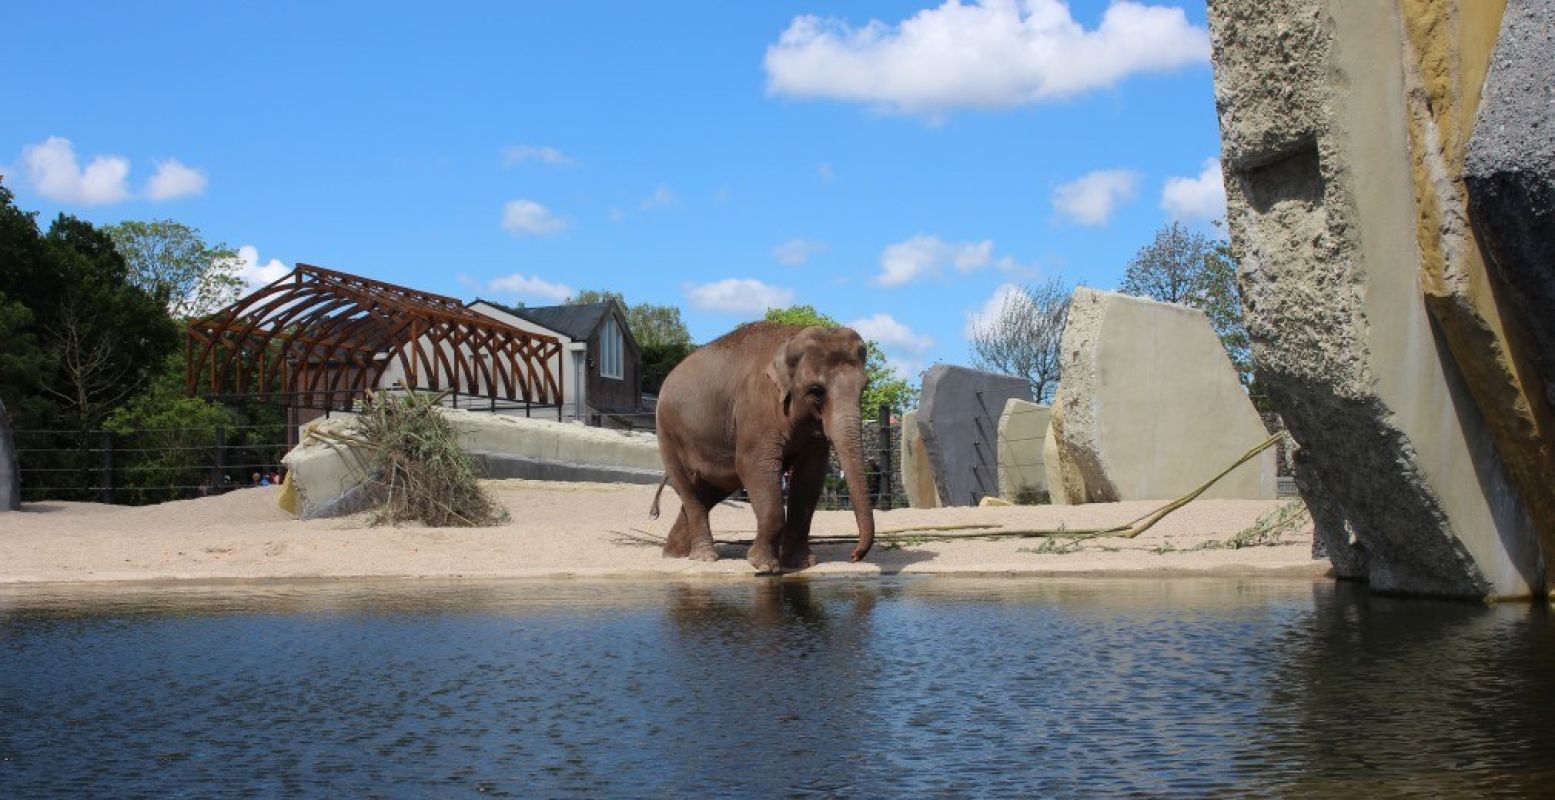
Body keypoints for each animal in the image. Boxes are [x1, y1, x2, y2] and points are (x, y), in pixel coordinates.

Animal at [646, 320, 877, 569]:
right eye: (816, 390)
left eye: (864, 387)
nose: (854, 555)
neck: (791, 338)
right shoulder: (756, 408)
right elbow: (754, 465)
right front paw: (763, 565)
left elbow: (810, 475)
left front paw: (801, 564)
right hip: (668, 433)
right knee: (688, 488)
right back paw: (704, 556)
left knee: (710, 490)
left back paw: (674, 553)